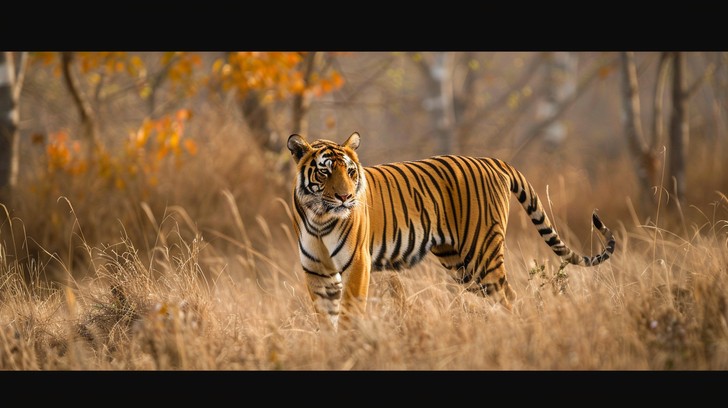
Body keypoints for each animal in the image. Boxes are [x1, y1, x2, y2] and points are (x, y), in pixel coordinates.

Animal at [287, 132, 615, 330]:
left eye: (350, 171)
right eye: (325, 171)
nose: (345, 197)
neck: (319, 217)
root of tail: (490, 160)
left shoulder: (357, 263)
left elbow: (349, 315)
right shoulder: (317, 271)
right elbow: (326, 317)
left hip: (481, 253)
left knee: (508, 294)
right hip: (461, 265)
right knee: (498, 295)